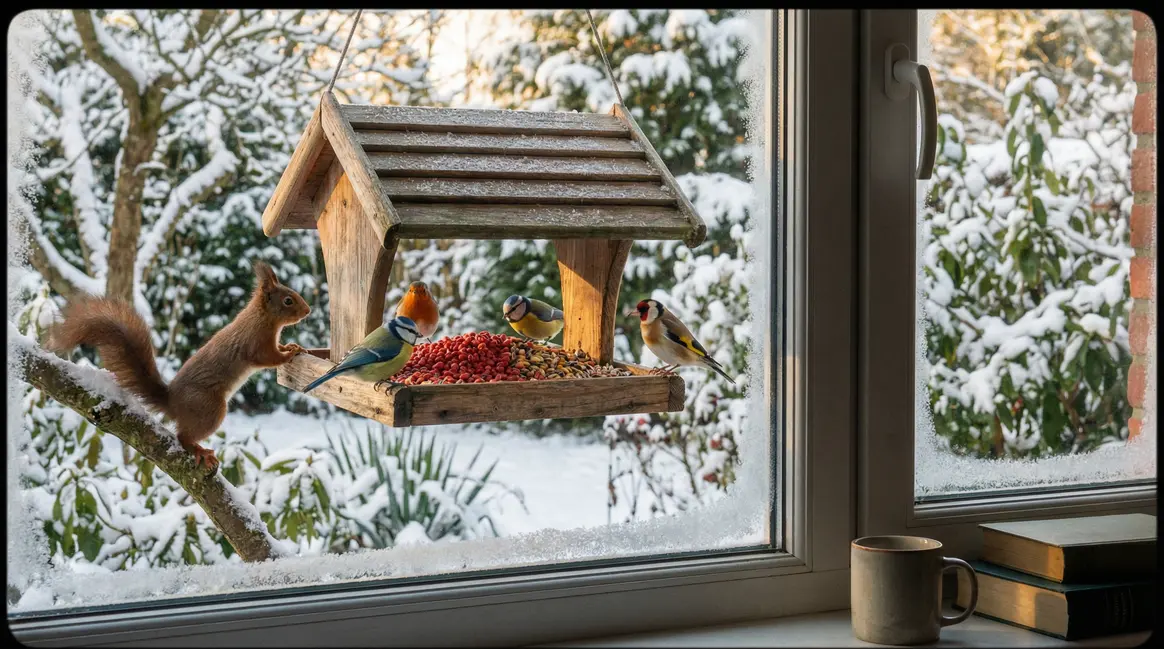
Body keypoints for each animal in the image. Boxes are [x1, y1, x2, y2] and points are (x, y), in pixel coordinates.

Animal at [47, 261, 311, 472]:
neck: (263, 318)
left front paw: (292, 345)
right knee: (182, 436)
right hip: (209, 409)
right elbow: (268, 359)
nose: (308, 311)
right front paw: (290, 354)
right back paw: (200, 451)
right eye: (288, 300)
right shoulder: (256, 343)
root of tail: (172, 402)